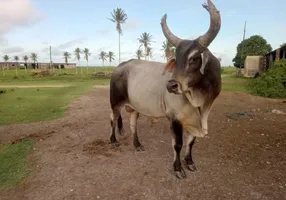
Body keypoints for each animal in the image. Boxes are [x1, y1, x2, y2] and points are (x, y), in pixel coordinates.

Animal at [108, 0, 222, 179]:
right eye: (177, 59)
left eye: (194, 58)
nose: (171, 86)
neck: (198, 99)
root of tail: (120, 66)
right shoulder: (174, 118)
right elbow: (178, 144)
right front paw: (178, 168)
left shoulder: (199, 117)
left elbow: (191, 142)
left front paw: (189, 162)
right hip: (115, 102)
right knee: (113, 119)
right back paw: (113, 141)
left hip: (134, 108)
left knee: (133, 125)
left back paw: (137, 144)